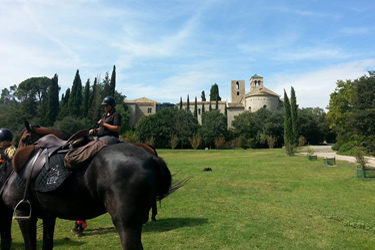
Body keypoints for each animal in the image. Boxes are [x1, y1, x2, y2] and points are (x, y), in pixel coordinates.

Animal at [0, 122, 173, 249]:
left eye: (24, 139)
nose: (15, 154)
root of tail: (151, 157)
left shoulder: (24, 214)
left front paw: (79, 229)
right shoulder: (49, 217)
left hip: (125, 224)